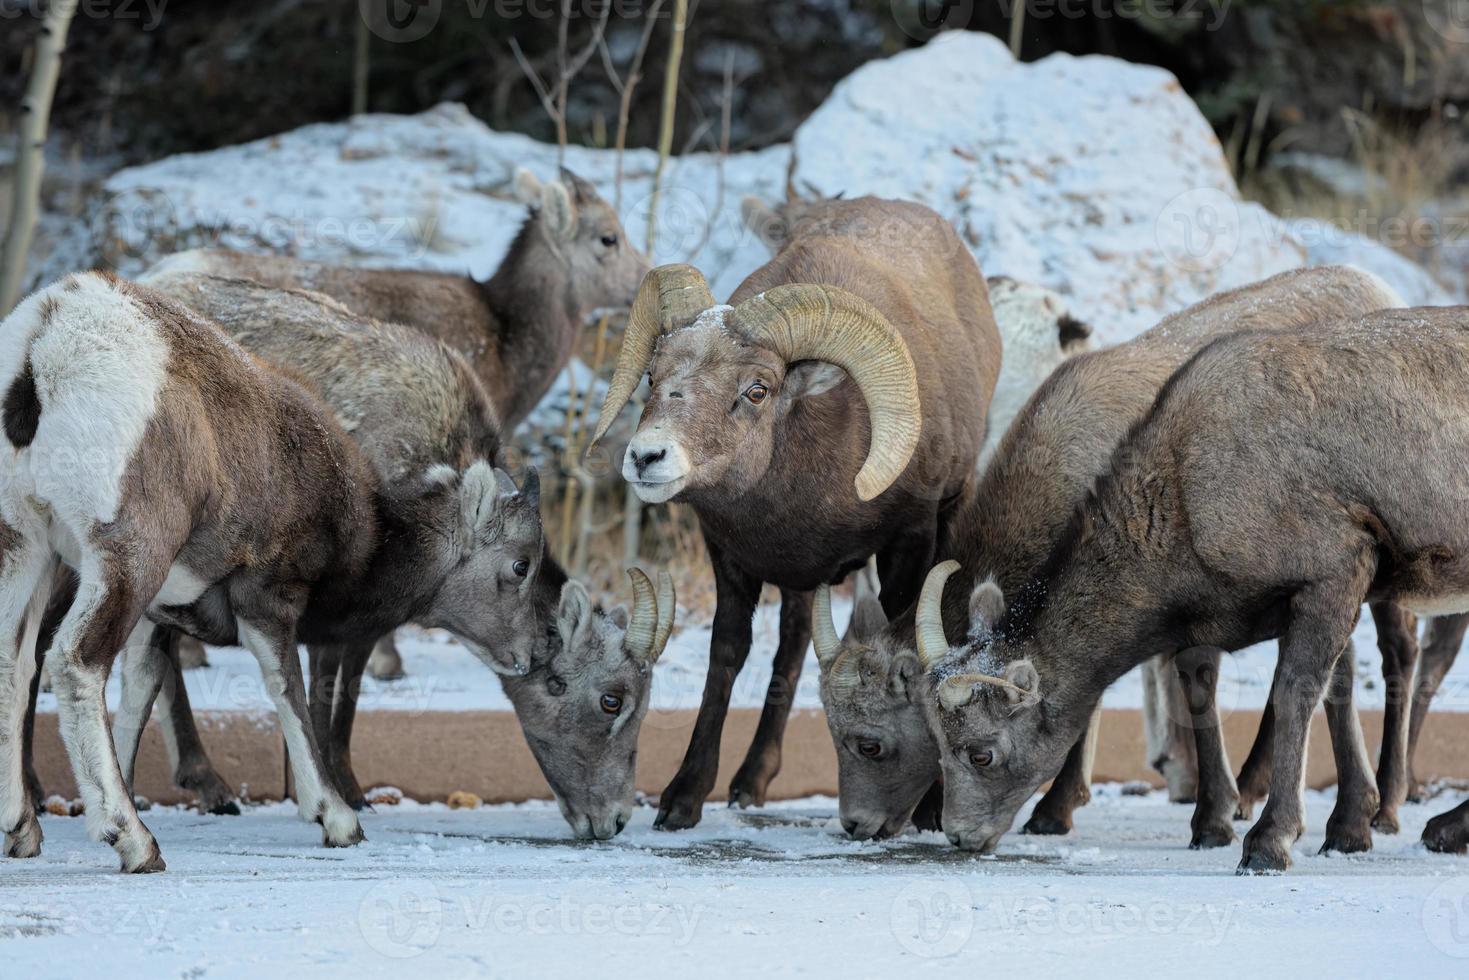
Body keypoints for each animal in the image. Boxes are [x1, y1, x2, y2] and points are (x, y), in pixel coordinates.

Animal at [138, 271, 675, 840]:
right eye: (611, 700)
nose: (614, 819)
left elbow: (347, 694)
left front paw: (351, 792)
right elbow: (324, 691)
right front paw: (338, 796)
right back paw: (208, 784)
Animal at [590, 196, 1004, 828]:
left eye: (757, 390)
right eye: (654, 376)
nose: (647, 457)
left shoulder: (909, 542)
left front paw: (925, 809)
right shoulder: (733, 556)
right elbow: (729, 654)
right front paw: (683, 800)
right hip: (800, 585)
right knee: (789, 648)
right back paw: (750, 783)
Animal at [916, 307, 1469, 875]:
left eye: (981, 753)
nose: (958, 835)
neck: (1186, 491)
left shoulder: (1332, 578)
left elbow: (1294, 695)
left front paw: (1269, 843)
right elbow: (1244, 694)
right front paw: (1324, 829)